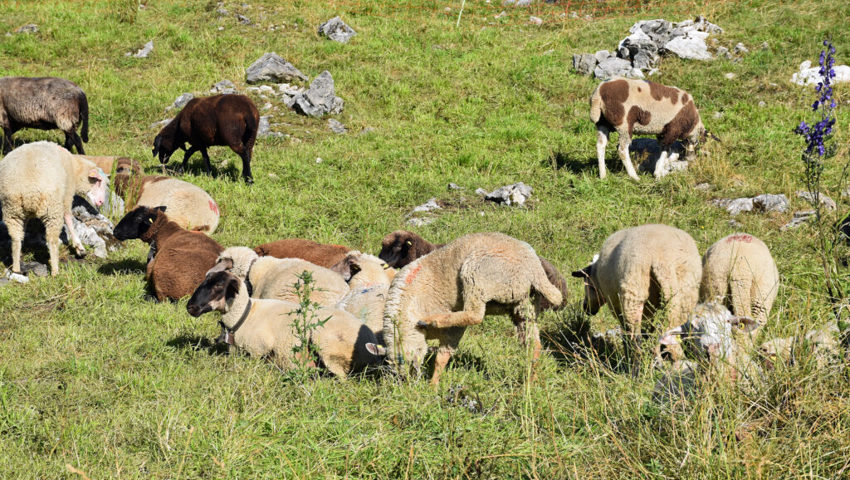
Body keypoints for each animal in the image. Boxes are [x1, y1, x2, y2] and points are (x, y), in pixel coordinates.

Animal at [0, 141, 108, 276]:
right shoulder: (67, 194)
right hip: (52, 209)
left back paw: (16, 267)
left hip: (12, 211)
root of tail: (27, 191)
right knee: (52, 241)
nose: (101, 202)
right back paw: (55, 270)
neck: (74, 168)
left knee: (16, 239)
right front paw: (79, 247)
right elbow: (68, 218)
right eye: (98, 182)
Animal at [568, 223, 704, 374]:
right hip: (682, 299)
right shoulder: (651, 310)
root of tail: (661, 260)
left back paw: (636, 367)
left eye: (589, 286)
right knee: (669, 332)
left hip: (633, 293)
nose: (586, 308)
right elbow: (649, 330)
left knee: (634, 337)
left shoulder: (615, 305)